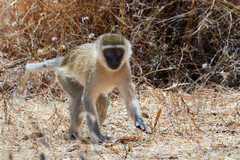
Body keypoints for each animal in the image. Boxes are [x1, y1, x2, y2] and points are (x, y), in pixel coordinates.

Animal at [19, 33, 150, 144]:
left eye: (118, 51)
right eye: (108, 51)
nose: (114, 60)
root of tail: (64, 59)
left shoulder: (125, 68)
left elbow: (129, 97)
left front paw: (139, 121)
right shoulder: (93, 70)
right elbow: (87, 99)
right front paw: (97, 135)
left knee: (102, 98)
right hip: (63, 76)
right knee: (79, 97)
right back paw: (74, 134)